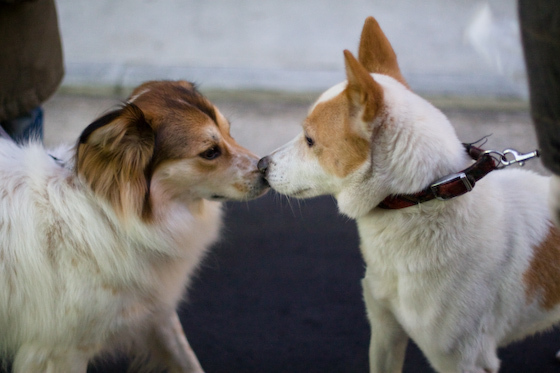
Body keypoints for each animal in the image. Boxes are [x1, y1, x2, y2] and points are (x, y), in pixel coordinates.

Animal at [0, 81, 270, 372]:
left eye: (229, 132)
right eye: (210, 152)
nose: (266, 169)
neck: (111, 219)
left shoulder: (156, 311)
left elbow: (186, 358)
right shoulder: (59, 351)